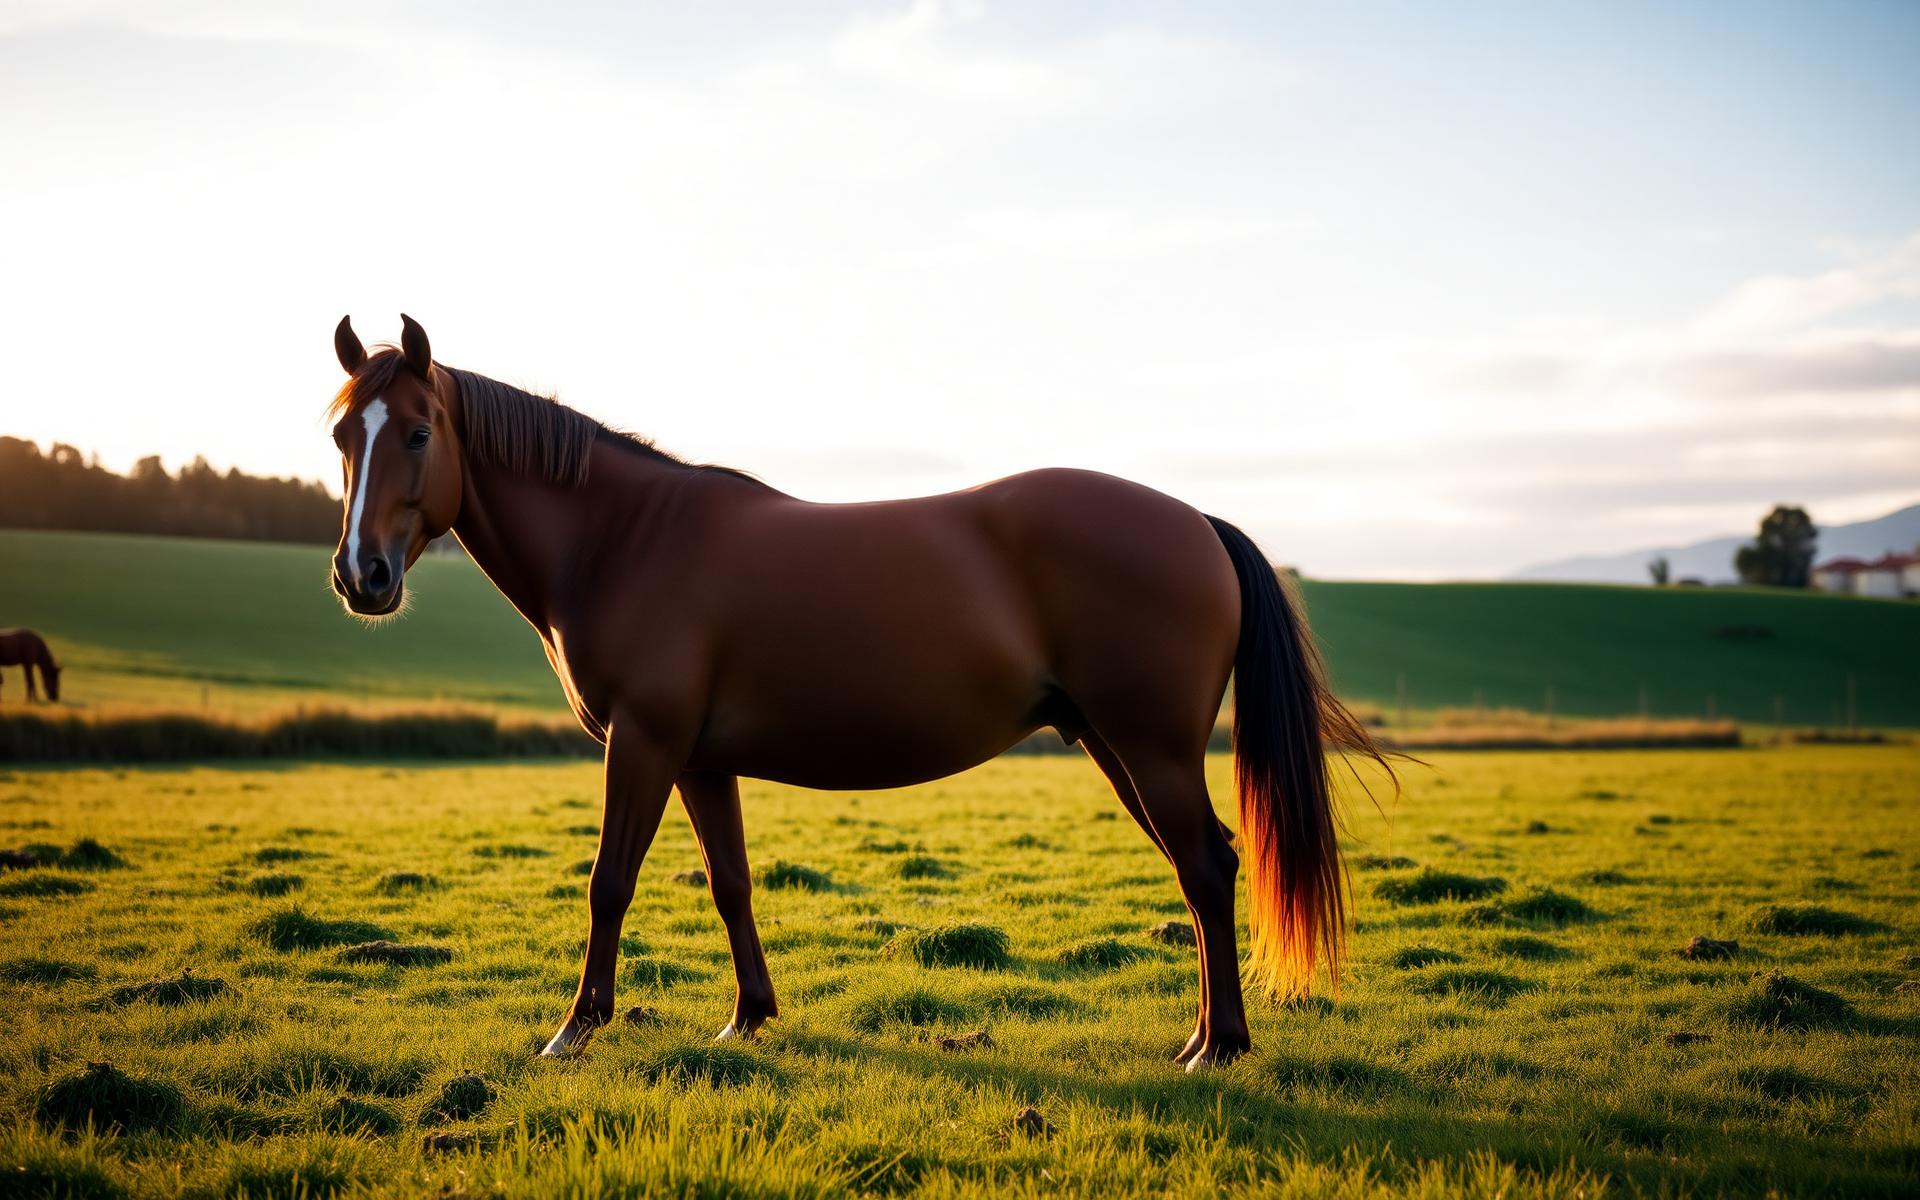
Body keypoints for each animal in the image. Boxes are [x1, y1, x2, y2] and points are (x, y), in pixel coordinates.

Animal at [324, 315, 1389, 1068]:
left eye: (415, 433)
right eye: (340, 434)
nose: (360, 576)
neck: (625, 539)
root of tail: (1198, 522)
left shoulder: (644, 743)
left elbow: (609, 882)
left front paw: (573, 1032)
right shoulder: (698, 759)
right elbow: (730, 882)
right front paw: (748, 1019)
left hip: (1151, 747)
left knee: (1206, 867)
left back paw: (1219, 1049)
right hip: (1114, 743)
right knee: (1198, 868)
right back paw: (1207, 1037)